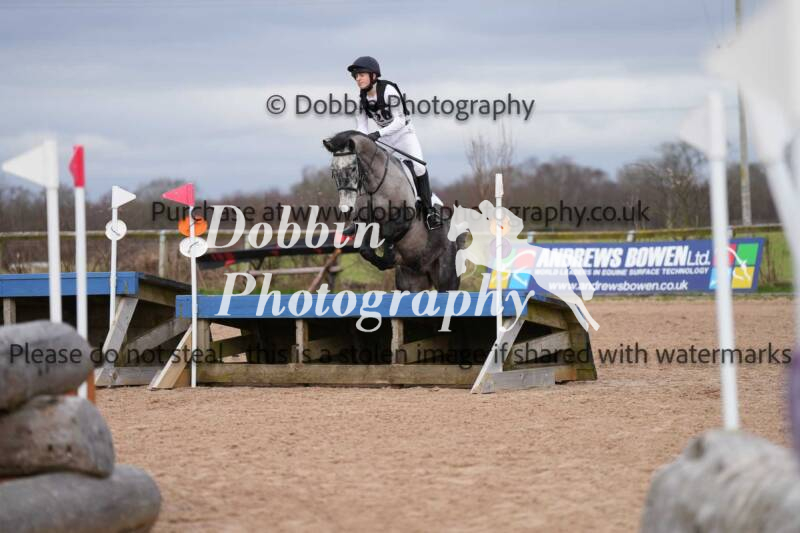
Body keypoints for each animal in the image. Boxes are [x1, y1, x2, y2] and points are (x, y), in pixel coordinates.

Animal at [322, 130, 465, 292]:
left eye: (352, 168)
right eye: (333, 171)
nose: (346, 207)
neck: (375, 185)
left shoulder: (404, 219)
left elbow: (388, 233)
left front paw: (388, 257)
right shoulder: (366, 222)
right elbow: (365, 250)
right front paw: (385, 259)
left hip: (446, 278)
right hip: (411, 282)